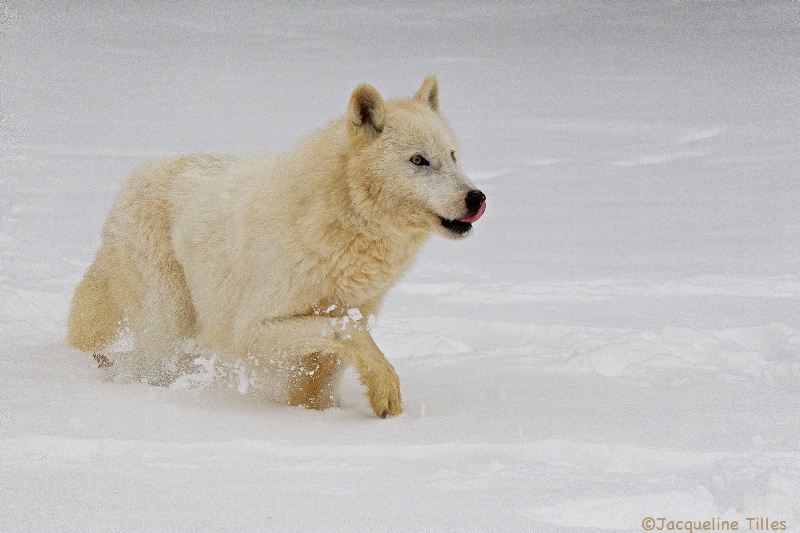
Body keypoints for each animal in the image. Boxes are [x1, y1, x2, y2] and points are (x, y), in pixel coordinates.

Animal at [65, 76, 484, 416]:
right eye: (418, 160)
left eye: (452, 156)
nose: (477, 198)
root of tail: (132, 181)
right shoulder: (253, 329)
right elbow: (345, 332)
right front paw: (386, 390)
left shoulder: (348, 320)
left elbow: (324, 378)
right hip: (169, 326)